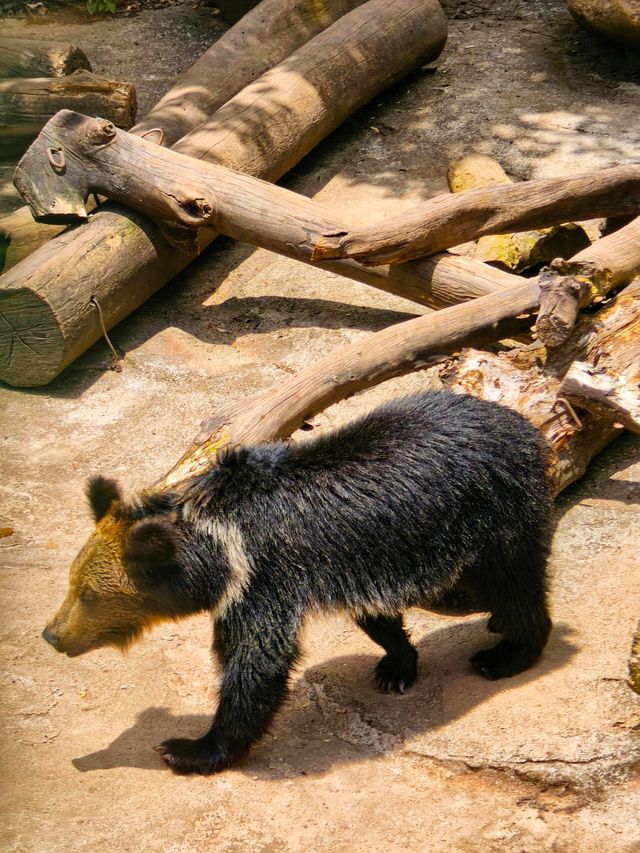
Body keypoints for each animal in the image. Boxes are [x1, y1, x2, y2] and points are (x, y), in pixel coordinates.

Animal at [42, 392, 552, 772]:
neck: (217, 542)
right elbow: (376, 615)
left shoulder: (259, 583)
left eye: (89, 596)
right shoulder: (359, 562)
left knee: (514, 586)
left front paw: (188, 748)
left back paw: (505, 654)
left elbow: (256, 663)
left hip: (495, 518)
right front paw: (396, 665)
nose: (52, 634)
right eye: (72, 583)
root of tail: (526, 426)